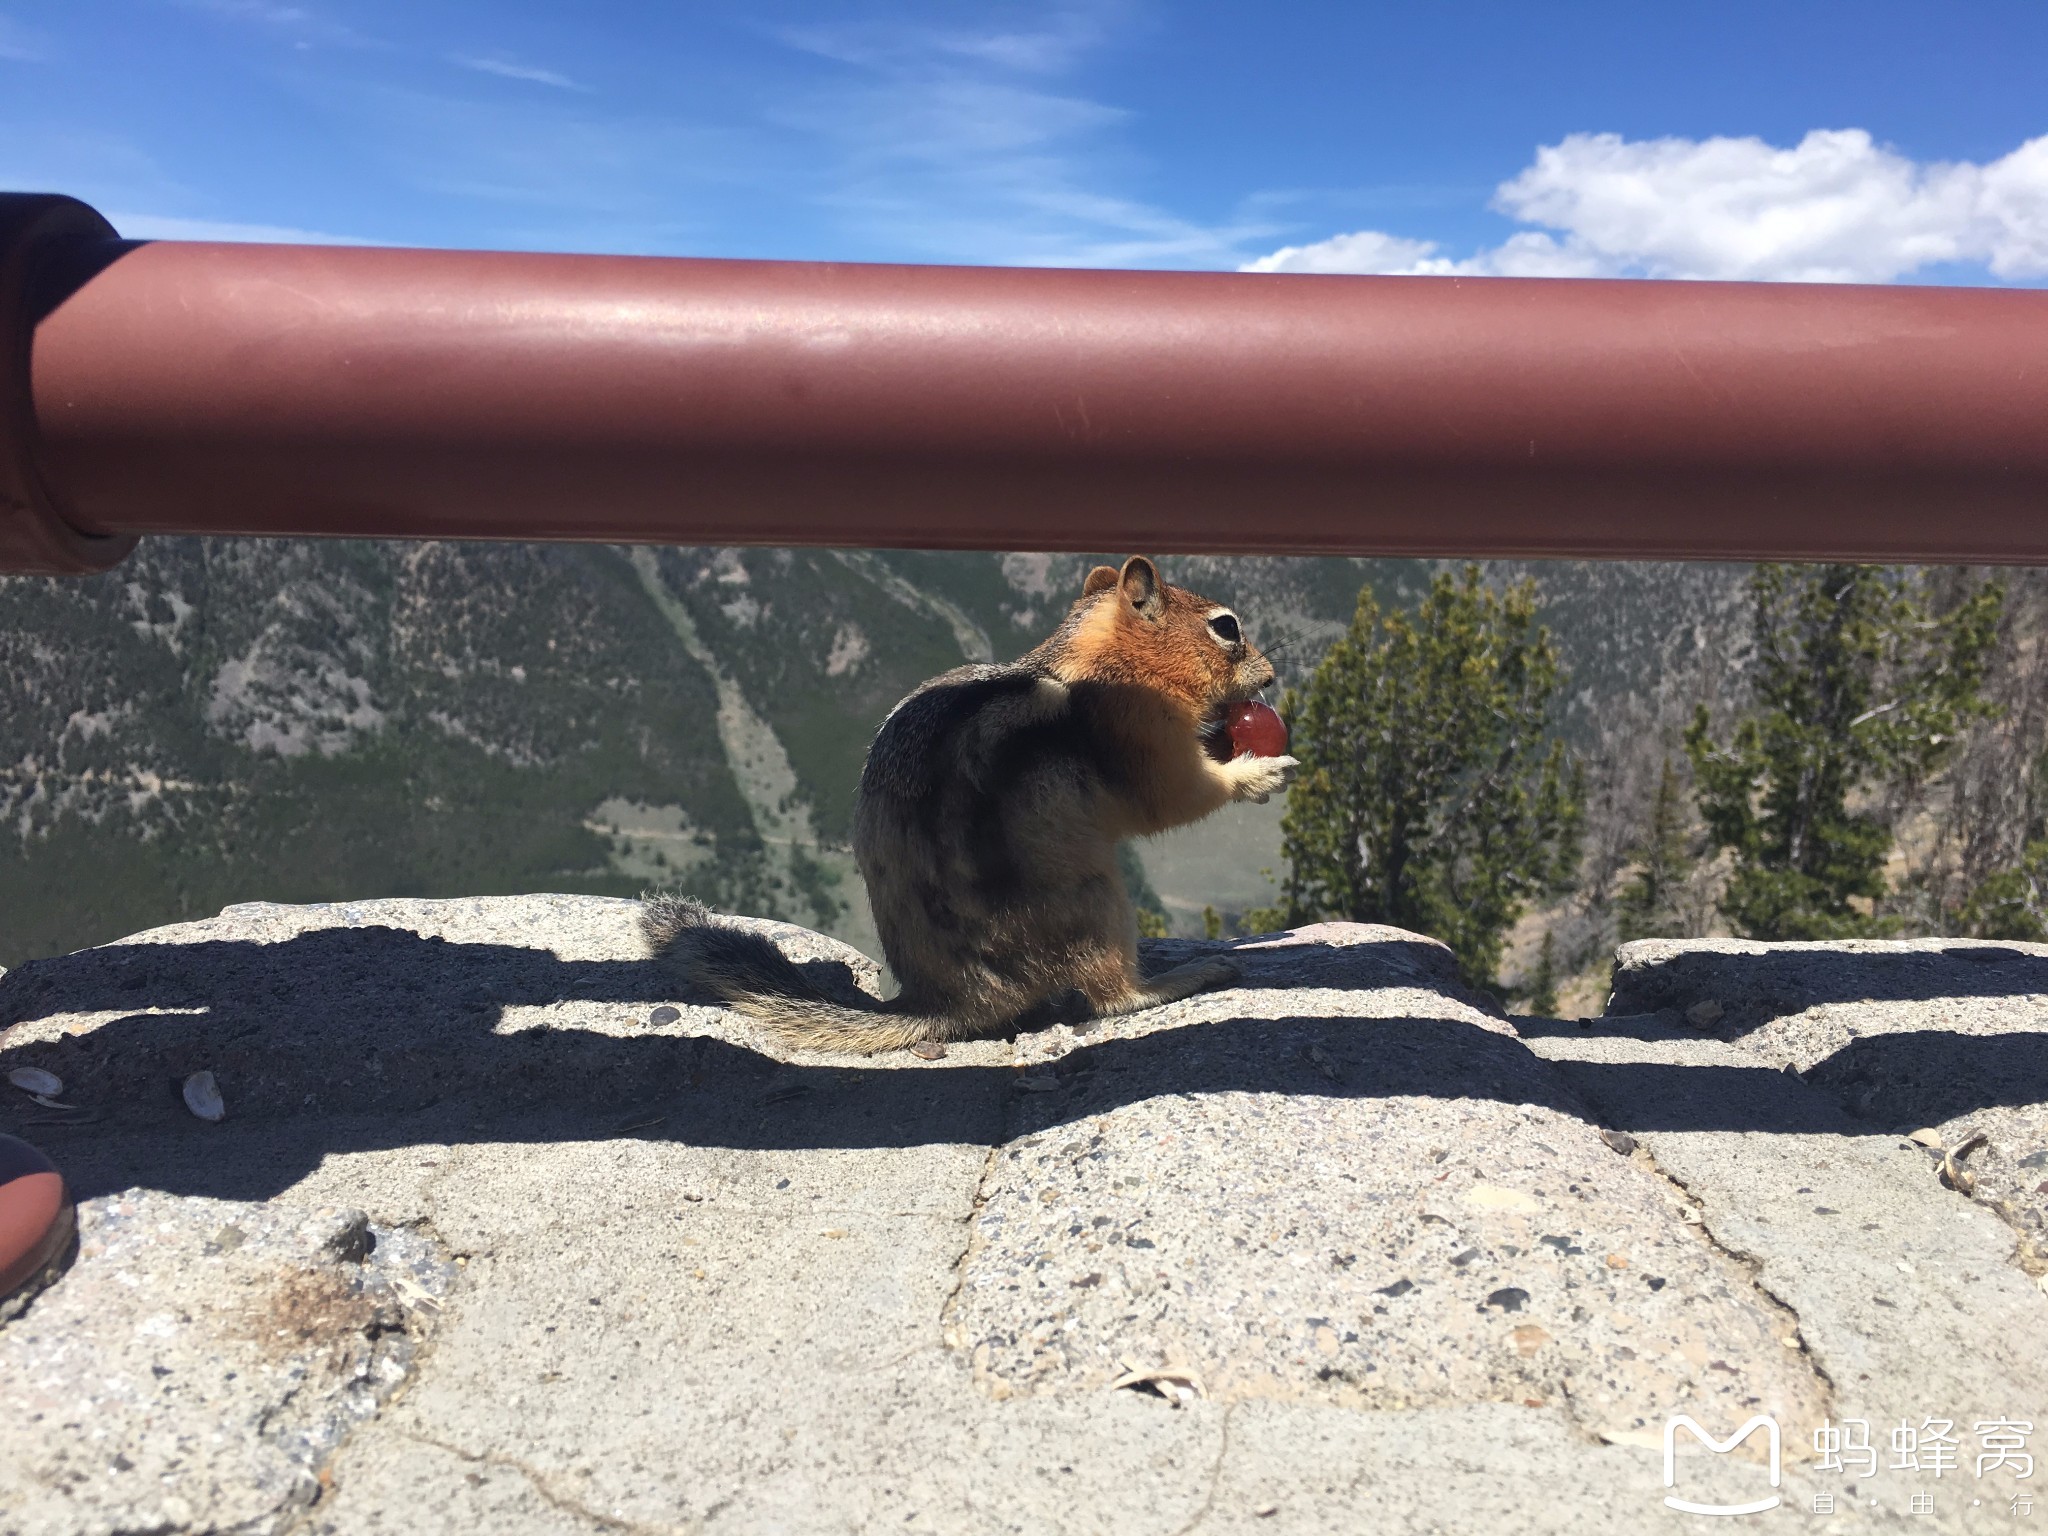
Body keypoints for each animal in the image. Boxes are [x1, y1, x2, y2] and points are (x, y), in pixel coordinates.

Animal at [643, 557, 1294, 1056]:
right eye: (1226, 627)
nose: (1272, 674)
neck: (1101, 661)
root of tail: (949, 1001)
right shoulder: (1141, 733)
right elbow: (1175, 795)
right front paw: (1260, 772)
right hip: (1094, 897)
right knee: (1110, 996)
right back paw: (1184, 976)